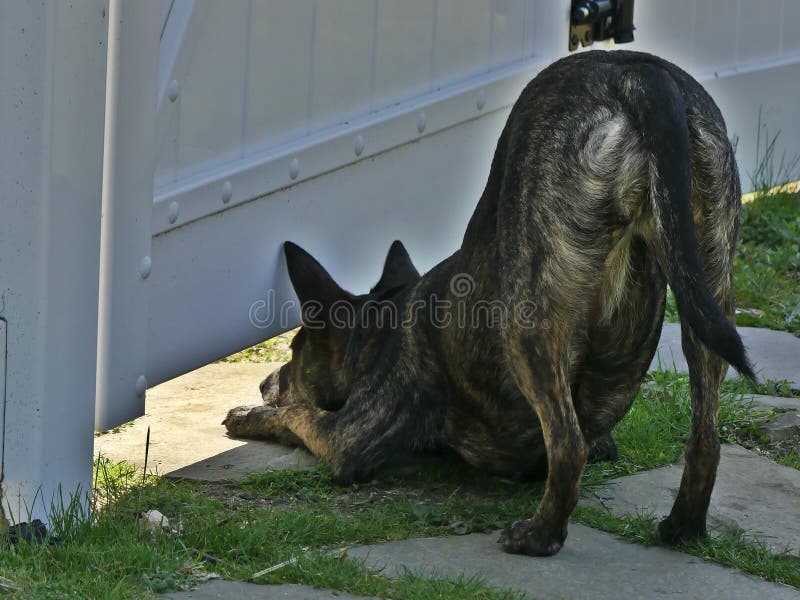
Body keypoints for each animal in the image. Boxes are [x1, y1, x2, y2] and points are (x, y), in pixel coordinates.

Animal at [222, 49, 752, 556]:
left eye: (295, 351)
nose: (266, 381)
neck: (383, 326)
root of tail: (630, 72)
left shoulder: (349, 436)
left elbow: (299, 416)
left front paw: (248, 414)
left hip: (528, 316)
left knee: (569, 444)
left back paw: (538, 536)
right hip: (707, 279)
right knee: (704, 436)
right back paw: (682, 528)